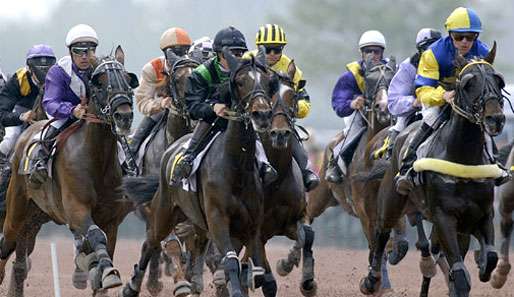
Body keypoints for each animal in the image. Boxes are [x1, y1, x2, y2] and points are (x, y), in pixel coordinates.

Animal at [0, 45, 137, 294]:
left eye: (127, 79)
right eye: (99, 83)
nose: (124, 115)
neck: (97, 158)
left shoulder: (111, 220)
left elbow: (100, 255)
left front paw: (99, 273)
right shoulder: (76, 209)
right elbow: (95, 236)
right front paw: (108, 272)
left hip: (33, 219)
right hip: (16, 209)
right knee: (7, 244)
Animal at [120, 49, 276, 296]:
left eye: (269, 82)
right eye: (241, 82)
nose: (262, 114)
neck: (236, 167)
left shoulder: (251, 225)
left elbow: (258, 268)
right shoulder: (217, 218)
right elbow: (229, 261)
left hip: (195, 219)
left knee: (197, 247)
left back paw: (194, 281)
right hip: (164, 211)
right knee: (151, 242)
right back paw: (134, 287)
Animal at [360, 44, 504, 296]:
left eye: (498, 80)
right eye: (468, 83)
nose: (495, 118)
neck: (463, 158)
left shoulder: (481, 215)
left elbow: (491, 258)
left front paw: (482, 263)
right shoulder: (444, 217)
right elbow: (459, 272)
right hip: (391, 199)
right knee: (381, 232)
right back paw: (372, 280)